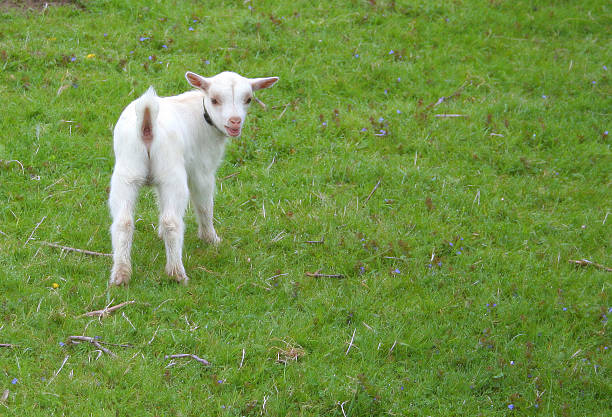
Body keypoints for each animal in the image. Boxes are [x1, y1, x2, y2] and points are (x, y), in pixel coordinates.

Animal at [110, 71, 280, 286]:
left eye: (248, 99)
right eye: (214, 100)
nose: (235, 121)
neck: (201, 115)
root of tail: (147, 124)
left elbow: (160, 201)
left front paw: (159, 233)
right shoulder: (202, 169)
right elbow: (205, 205)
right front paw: (211, 239)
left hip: (127, 170)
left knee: (123, 221)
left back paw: (121, 274)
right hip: (171, 172)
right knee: (171, 221)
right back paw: (176, 273)